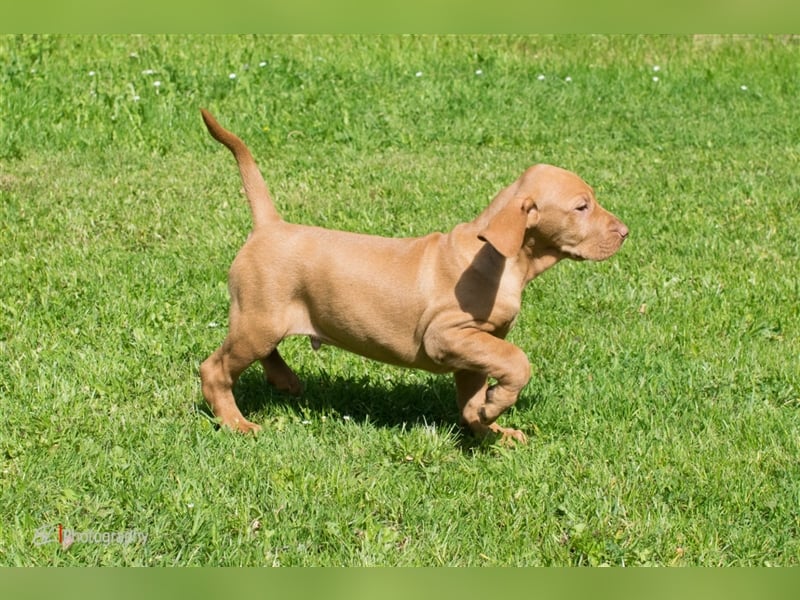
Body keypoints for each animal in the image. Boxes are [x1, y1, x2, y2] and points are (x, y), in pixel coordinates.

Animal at [197, 110, 628, 442]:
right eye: (582, 207)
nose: (625, 232)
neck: (497, 259)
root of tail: (269, 226)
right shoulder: (446, 335)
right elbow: (517, 360)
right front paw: (495, 409)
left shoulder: (475, 347)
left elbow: (472, 398)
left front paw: (489, 426)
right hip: (259, 318)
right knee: (215, 369)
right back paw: (236, 422)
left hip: (262, 318)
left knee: (261, 352)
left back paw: (284, 380)